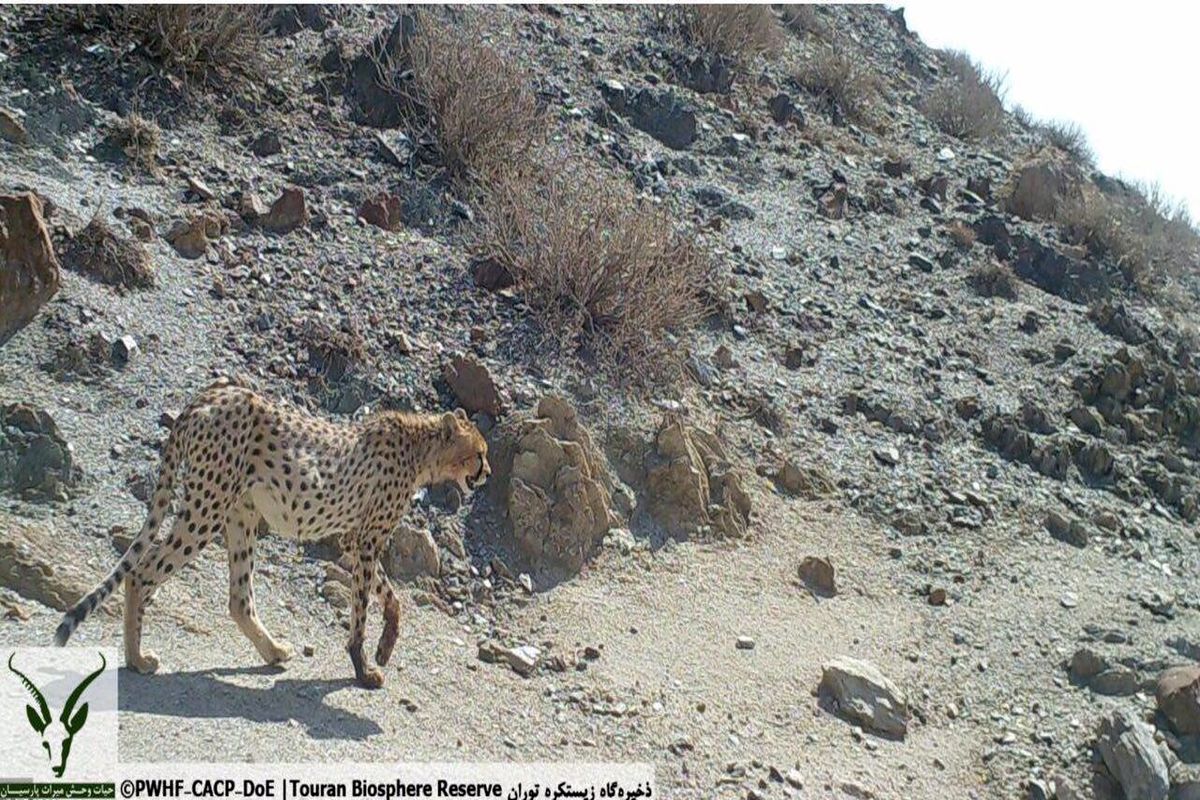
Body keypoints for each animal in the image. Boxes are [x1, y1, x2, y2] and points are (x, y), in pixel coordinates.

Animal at [56, 381, 487, 690]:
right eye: (480, 452)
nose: (487, 473)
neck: (420, 450)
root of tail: (209, 394)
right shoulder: (366, 540)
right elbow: (361, 609)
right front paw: (363, 668)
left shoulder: (355, 538)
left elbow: (390, 596)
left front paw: (385, 647)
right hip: (207, 508)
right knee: (141, 572)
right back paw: (136, 659)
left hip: (240, 514)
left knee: (238, 599)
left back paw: (273, 650)